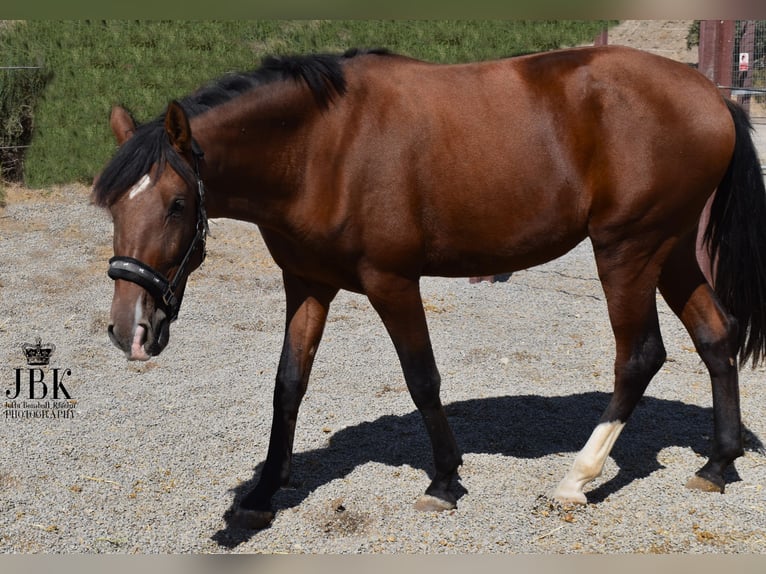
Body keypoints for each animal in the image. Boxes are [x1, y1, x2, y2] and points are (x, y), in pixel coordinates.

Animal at [94, 46, 766, 532]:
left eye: (177, 204)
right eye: (112, 207)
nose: (131, 331)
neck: (322, 146)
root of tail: (709, 95)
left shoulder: (392, 282)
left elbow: (422, 378)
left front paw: (444, 482)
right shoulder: (307, 284)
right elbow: (288, 385)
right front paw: (263, 490)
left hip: (627, 251)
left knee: (639, 356)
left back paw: (577, 478)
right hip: (670, 251)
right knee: (715, 335)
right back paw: (718, 463)